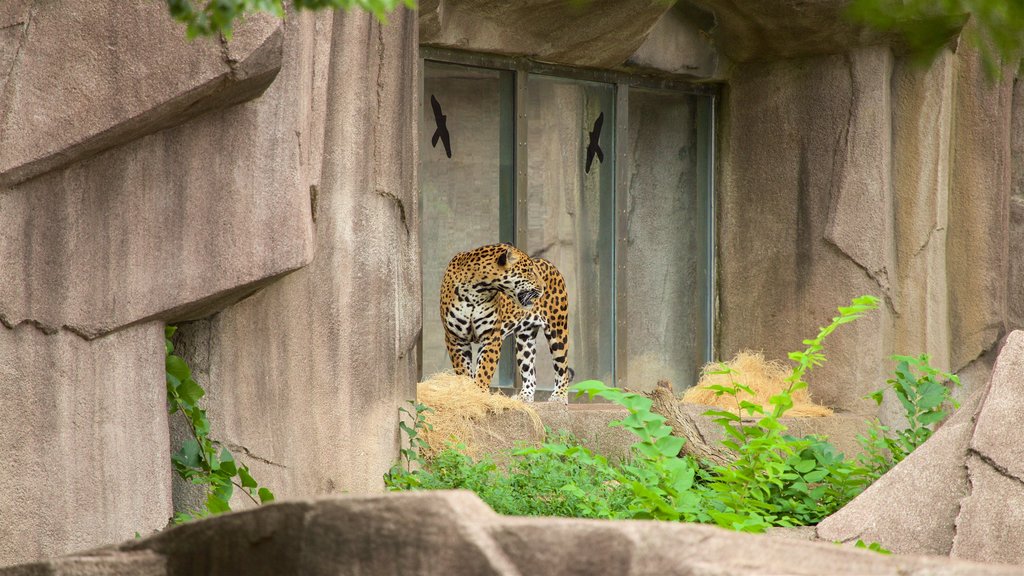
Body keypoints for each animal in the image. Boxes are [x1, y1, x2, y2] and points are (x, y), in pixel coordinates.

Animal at [438, 240, 573, 399]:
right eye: (530, 271)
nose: (544, 287)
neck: (476, 291)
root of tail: (549, 263)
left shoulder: (492, 337)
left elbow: (484, 370)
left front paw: (479, 393)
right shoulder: (455, 338)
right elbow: (464, 371)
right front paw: (469, 392)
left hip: (557, 329)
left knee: (562, 367)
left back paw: (559, 396)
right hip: (525, 340)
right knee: (530, 373)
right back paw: (524, 397)